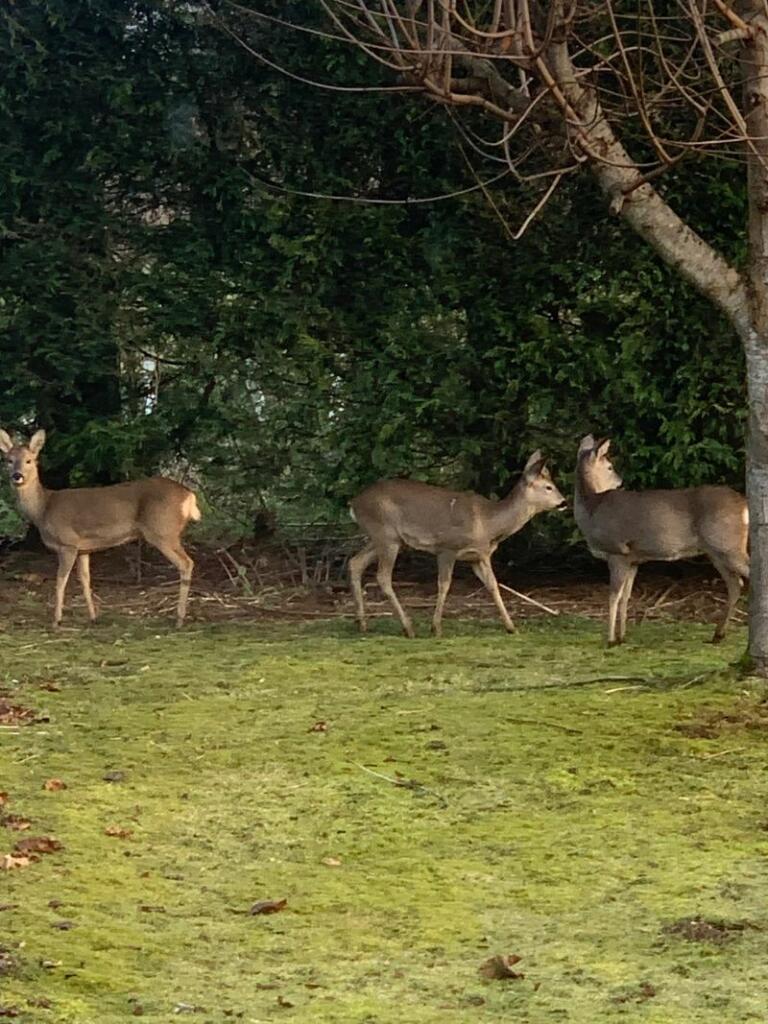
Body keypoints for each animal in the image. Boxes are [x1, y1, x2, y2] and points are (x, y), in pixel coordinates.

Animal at [0, 429, 201, 628]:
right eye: (9, 460)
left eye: (29, 460)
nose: (17, 476)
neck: (43, 509)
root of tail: (189, 496)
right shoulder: (83, 548)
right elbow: (85, 579)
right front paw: (93, 617)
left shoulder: (68, 543)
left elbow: (60, 581)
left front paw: (56, 620)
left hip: (163, 531)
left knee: (186, 563)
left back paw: (179, 619)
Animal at [349, 451, 567, 637]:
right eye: (548, 487)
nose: (564, 502)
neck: (488, 524)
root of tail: (354, 503)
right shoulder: (447, 547)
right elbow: (444, 584)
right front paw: (436, 628)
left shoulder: (479, 556)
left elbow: (493, 585)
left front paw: (511, 627)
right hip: (386, 534)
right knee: (382, 576)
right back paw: (408, 628)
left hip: (385, 538)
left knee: (355, 563)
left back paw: (363, 624)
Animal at [574, 434, 749, 646]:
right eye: (609, 466)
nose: (620, 481)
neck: (592, 510)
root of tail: (744, 505)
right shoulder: (633, 559)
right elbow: (625, 597)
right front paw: (622, 636)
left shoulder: (617, 550)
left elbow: (613, 597)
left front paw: (610, 640)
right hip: (716, 550)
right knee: (735, 584)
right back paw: (718, 635)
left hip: (727, 544)